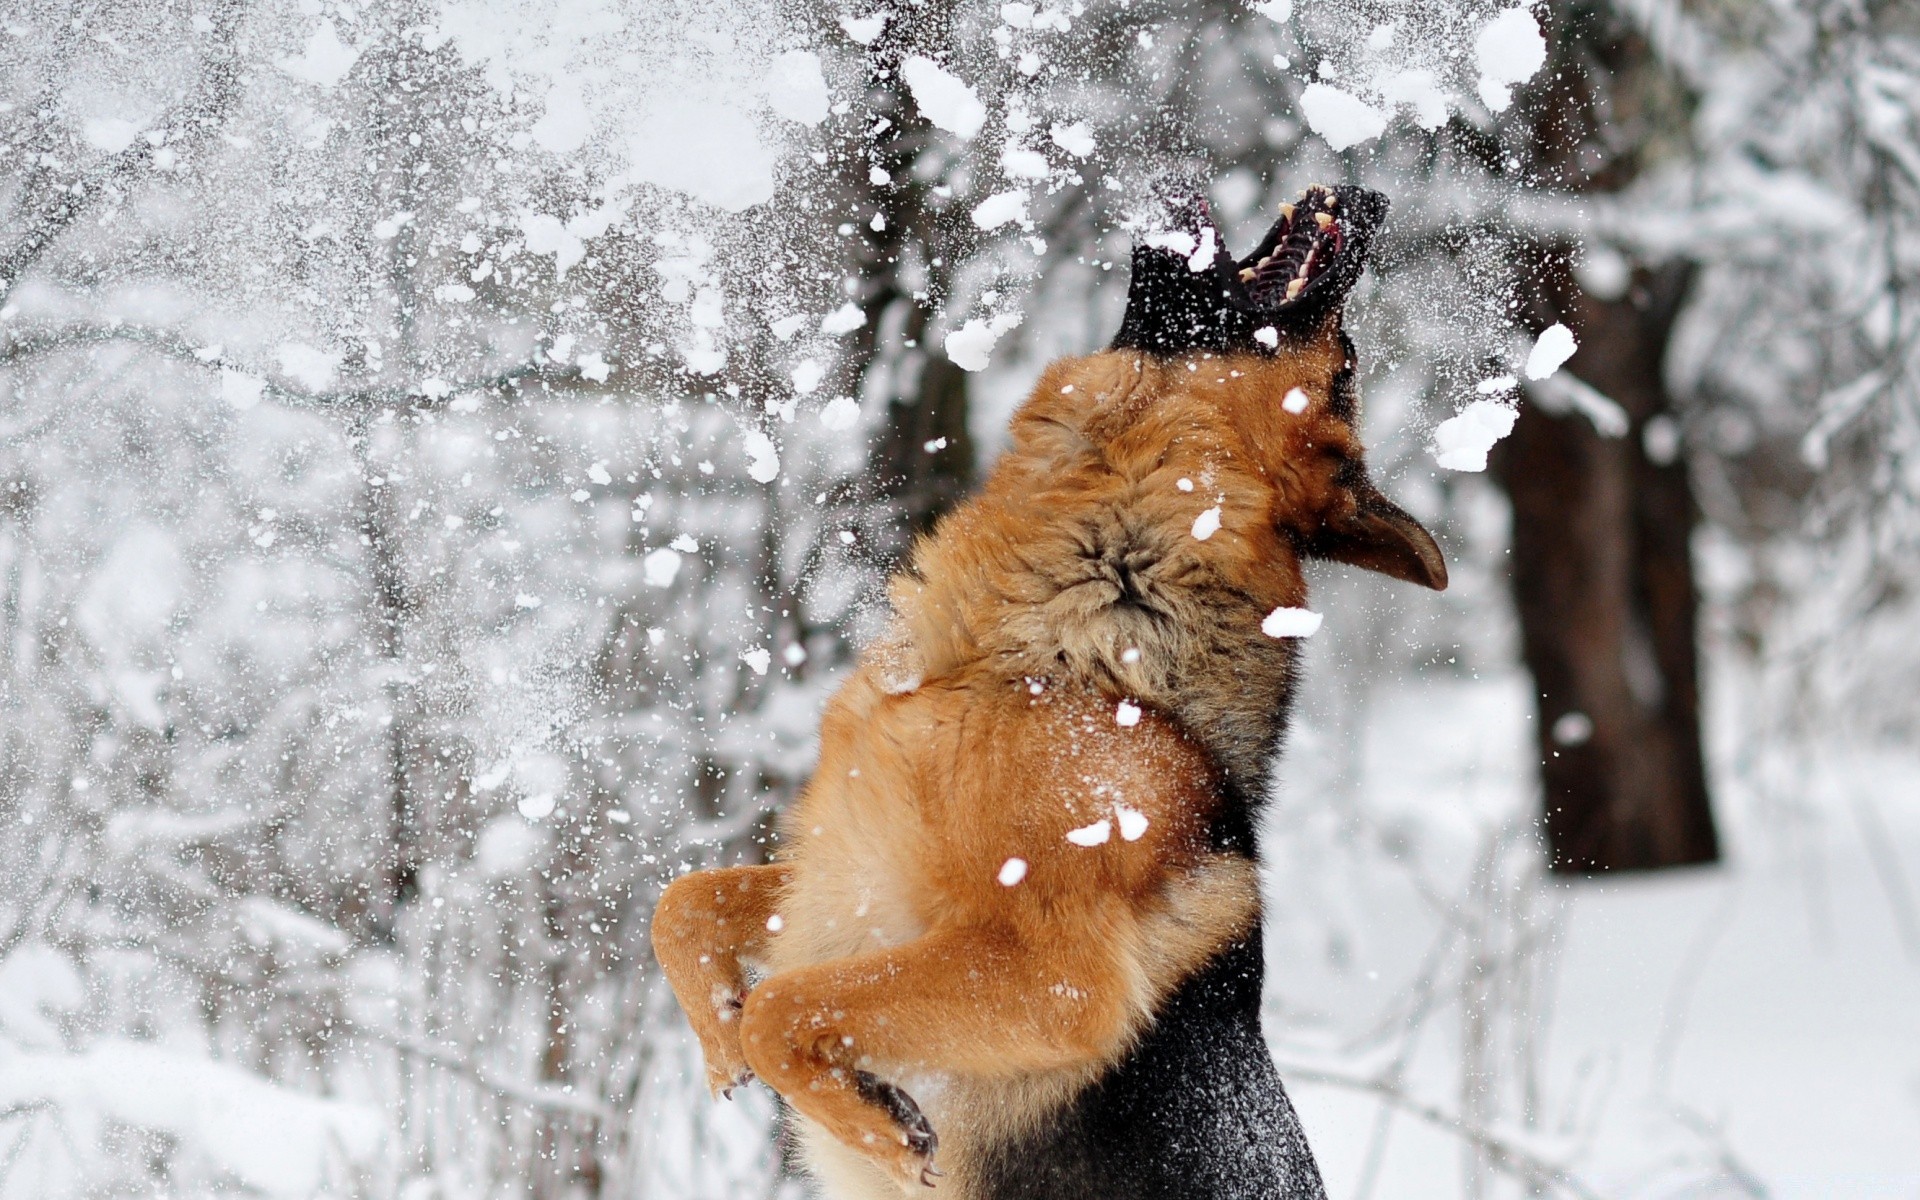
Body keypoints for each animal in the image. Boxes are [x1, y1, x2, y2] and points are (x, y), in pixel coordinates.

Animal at [652, 182, 1443, 1190]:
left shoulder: (1053, 975)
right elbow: (686, 905)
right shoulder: (845, 875)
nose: (1370, 196)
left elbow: (783, 1005)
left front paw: (871, 1124)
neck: (1061, 653)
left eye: (1344, 368)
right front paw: (719, 1040)